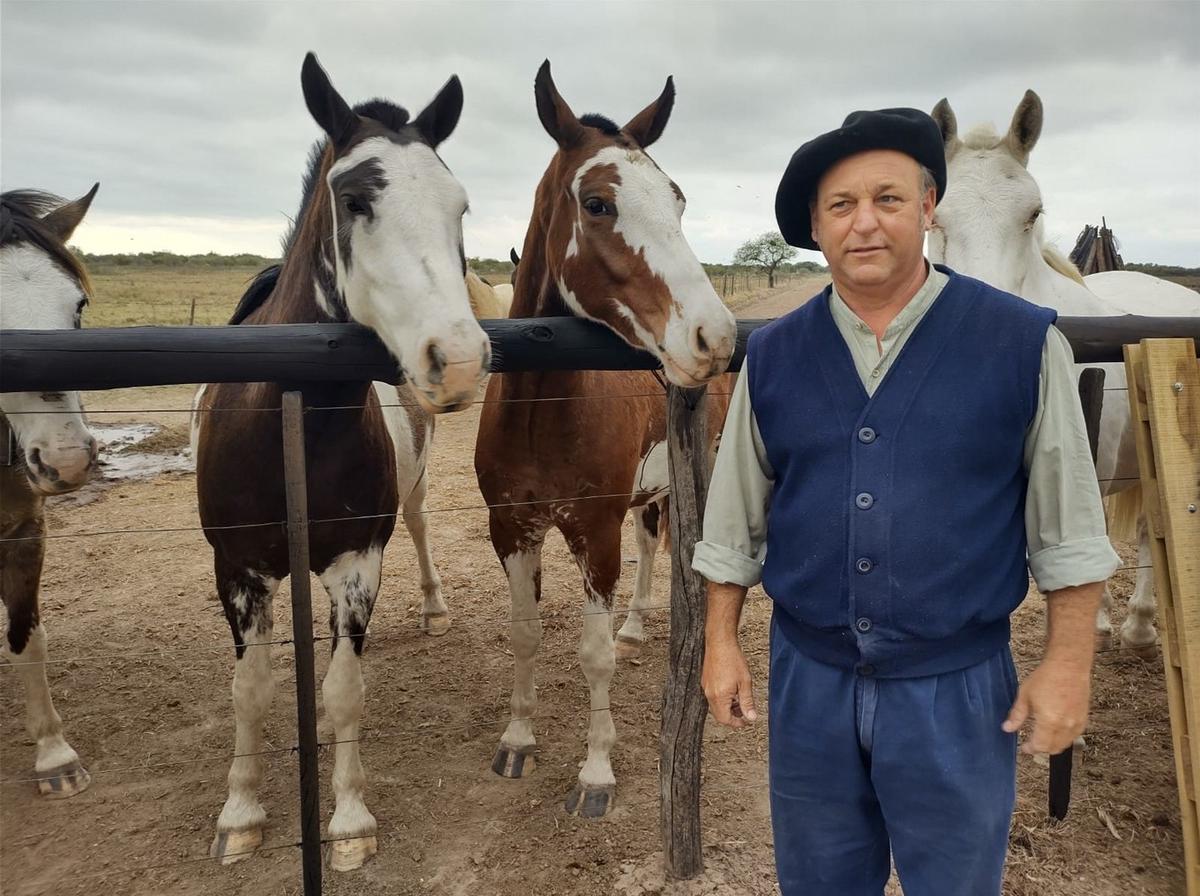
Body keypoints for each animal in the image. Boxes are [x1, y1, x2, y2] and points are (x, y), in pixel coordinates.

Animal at [194, 52, 484, 873]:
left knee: (418, 529)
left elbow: (345, 690)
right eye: (355, 199)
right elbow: (249, 690)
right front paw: (240, 813)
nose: (458, 361)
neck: (290, 421)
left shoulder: (358, 565)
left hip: (407, 503)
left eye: (460, 208)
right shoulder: (238, 570)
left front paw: (350, 821)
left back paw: (433, 606)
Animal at [472, 62, 734, 820]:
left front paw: (595, 774)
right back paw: (640, 623)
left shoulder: (594, 531)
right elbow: (526, 633)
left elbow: (592, 655)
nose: (714, 336)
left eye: (677, 200)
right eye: (597, 203)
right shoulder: (512, 528)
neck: (543, 412)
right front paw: (518, 741)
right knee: (651, 544)